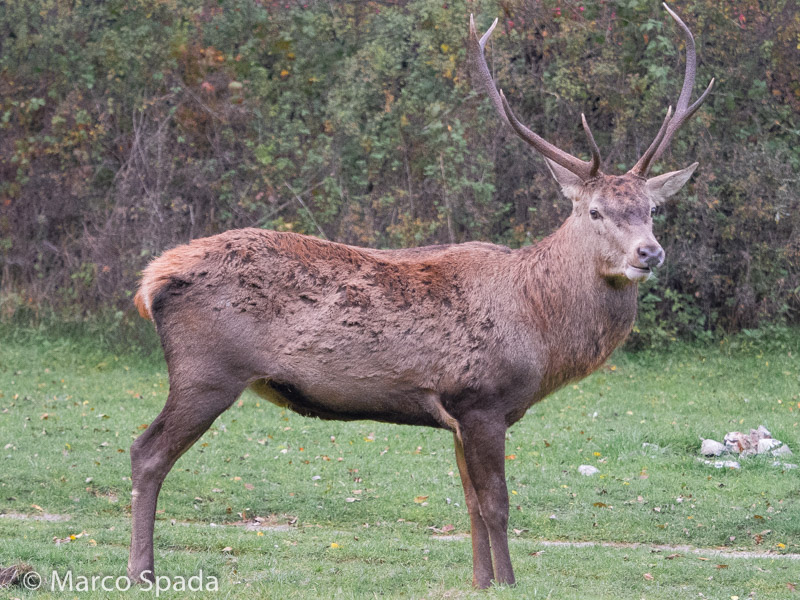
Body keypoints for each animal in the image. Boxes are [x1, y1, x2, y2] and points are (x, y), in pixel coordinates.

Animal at [128, 2, 716, 588]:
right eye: (595, 211)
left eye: (652, 208)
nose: (649, 252)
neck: (541, 330)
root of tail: (152, 279)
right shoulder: (480, 399)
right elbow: (497, 503)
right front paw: (508, 582)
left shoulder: (458, 415)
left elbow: (471, 504)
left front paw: (480, 581)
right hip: (207, 371)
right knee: (146, 452)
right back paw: (142, 571)